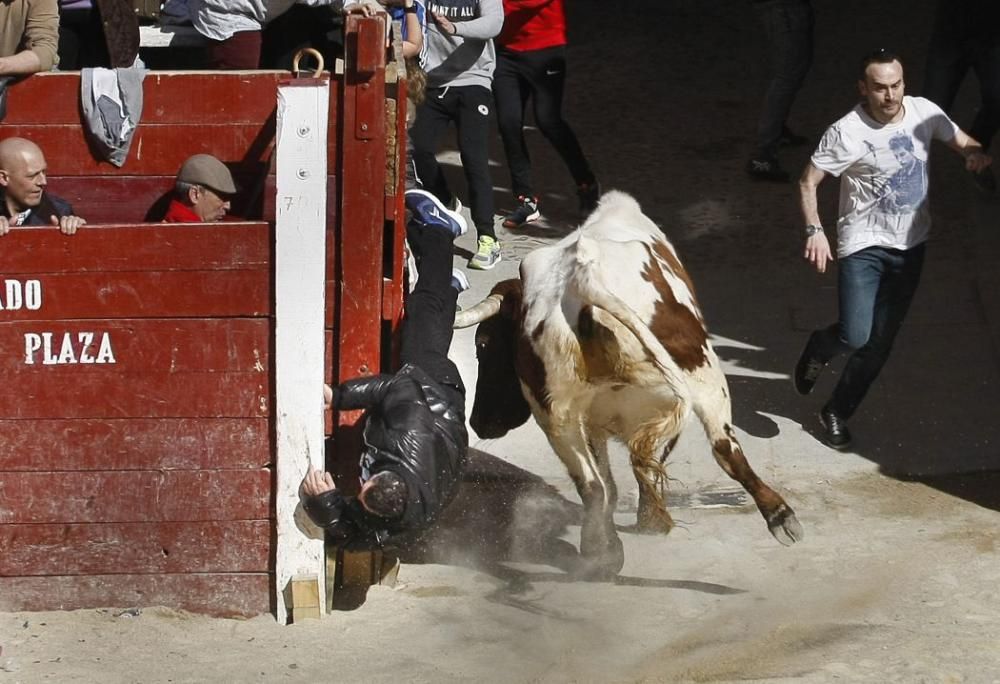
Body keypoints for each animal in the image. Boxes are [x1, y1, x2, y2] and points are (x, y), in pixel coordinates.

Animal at [458, 191, 800, 576]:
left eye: (484, 344)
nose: (479, 422)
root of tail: (581, 278)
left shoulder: (590, 420)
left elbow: (611, 475)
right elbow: (649, 464)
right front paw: (651, 520)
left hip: (557, 417)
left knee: (593, 485)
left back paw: (601, 554)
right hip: (704, 374)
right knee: (723, 448)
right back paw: (780, 517)